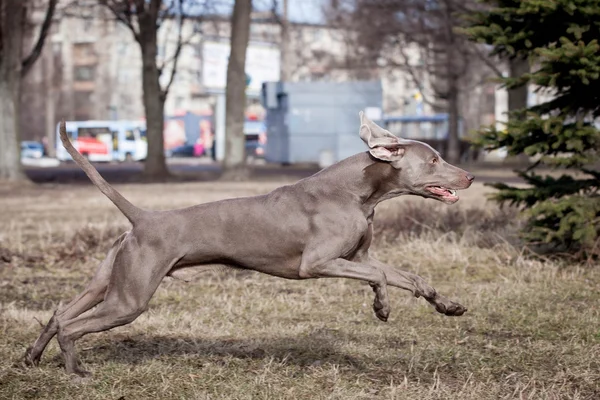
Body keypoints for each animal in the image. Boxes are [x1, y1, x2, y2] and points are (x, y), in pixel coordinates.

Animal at [23, 110, 474, 376]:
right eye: (434, 160)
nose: (469, 176)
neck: (358, 191)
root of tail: (143, 218)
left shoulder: (359, 255)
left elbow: (404, 275)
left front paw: (443, 305)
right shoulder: (317, 263)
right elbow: (382, 276)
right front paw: (385, 304)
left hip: (107, 283)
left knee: (59, 314)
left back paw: (32, 357)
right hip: (129, 299)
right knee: (71, 325)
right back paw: (76, 372)